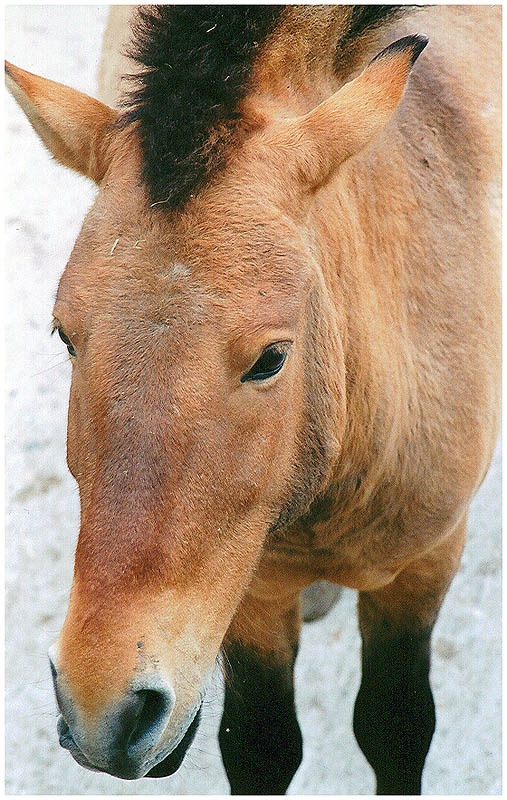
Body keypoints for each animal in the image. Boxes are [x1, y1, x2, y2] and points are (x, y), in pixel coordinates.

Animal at [5, 5, 500, 794]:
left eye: (271, 358)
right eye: (65, 335)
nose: (103, 708)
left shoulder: (423, 565)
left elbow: (395, 728)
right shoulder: (249, 588)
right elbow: (261, 743)